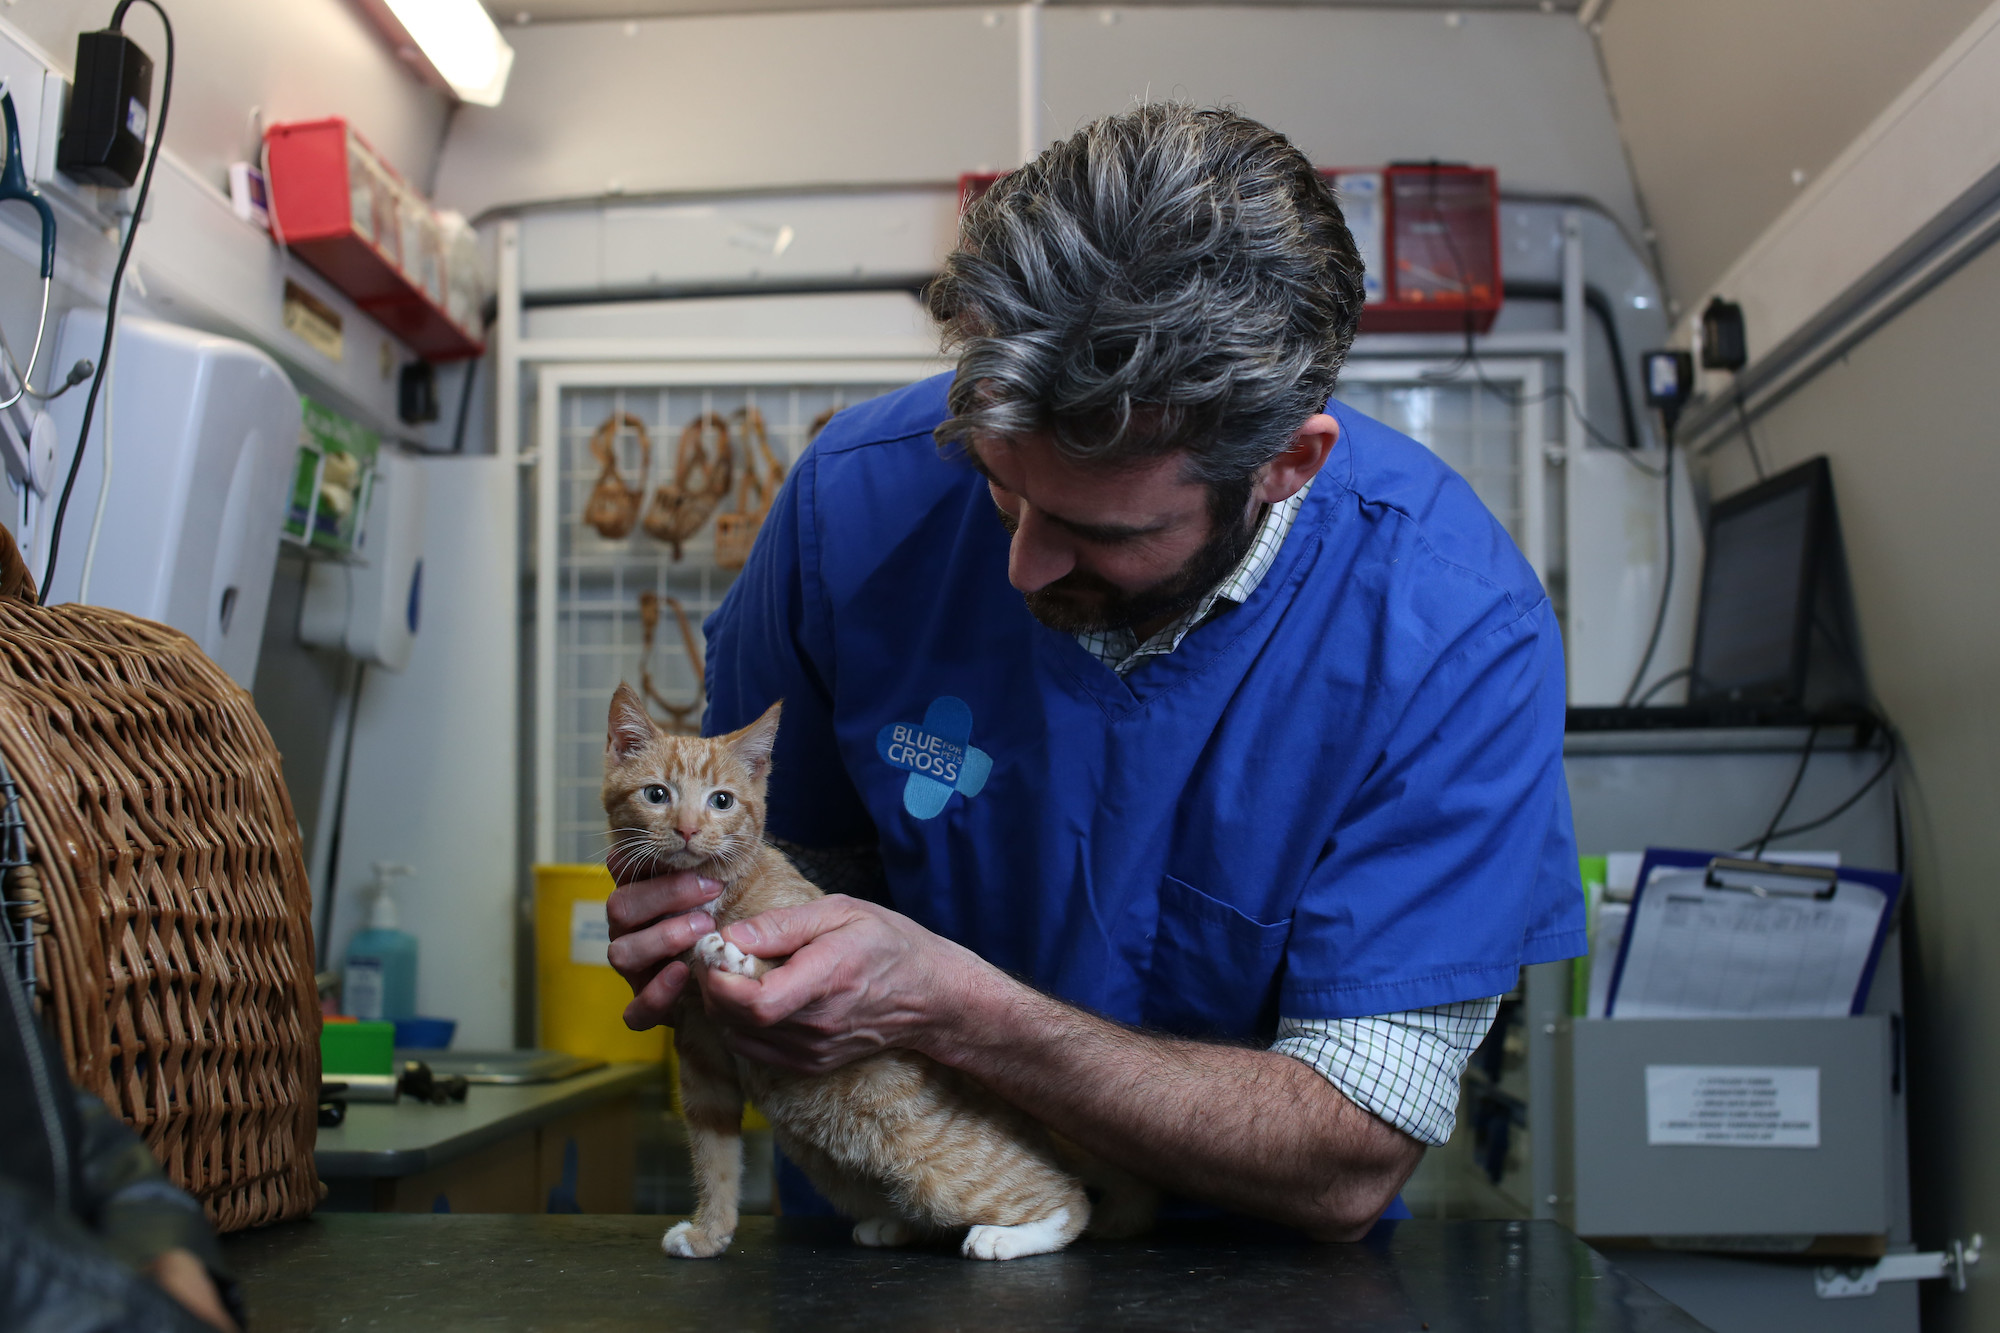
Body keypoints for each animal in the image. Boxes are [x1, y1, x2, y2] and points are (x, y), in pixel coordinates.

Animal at [600, 684, 1128, 1256]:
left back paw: (1007, 1238)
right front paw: (710, 1234)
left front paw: (733, 956)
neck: (712, 896)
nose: (688, 829)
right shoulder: (703, 1056)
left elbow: (774, 957)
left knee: (1069, 1199)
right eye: (657, 794)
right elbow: (714, 1156)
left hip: (940, 1169)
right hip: (828, 1163)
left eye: (722, 800)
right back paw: (891, 1226)